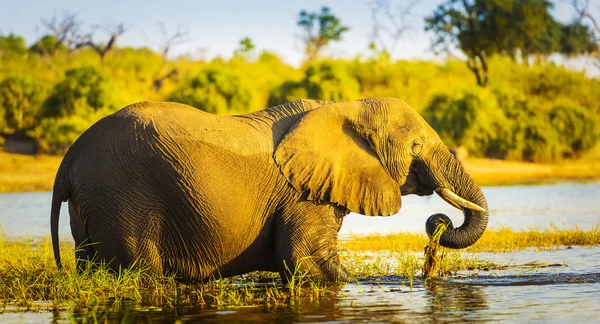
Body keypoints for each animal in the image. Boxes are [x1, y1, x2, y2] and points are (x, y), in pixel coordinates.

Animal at [51, 97, 488, 282]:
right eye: (415, 146)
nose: (438, 223)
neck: (347, 105)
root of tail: (68, 161)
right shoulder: (302, 195)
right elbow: (308, 263)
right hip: (122, 200)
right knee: (139, 273)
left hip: (94, 204)